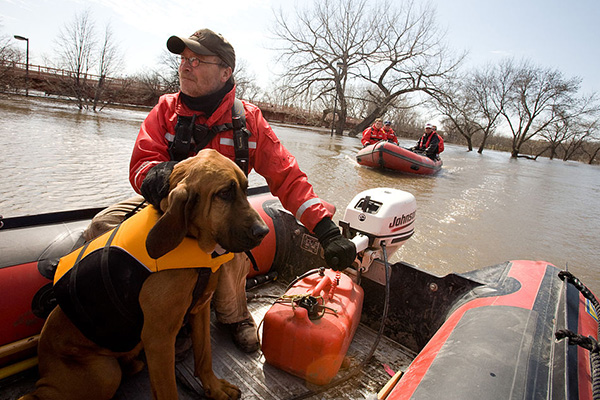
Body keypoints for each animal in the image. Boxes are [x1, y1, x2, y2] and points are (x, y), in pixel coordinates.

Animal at [21, 150, 270, 400]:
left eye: (245, 189)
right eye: (224, 193)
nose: (264, 232)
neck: (191, 239)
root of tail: (44, 371)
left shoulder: (199, 310)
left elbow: (204, 355)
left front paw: (214, 388)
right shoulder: (158, 339)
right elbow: (168, 390)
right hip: (104, 373)